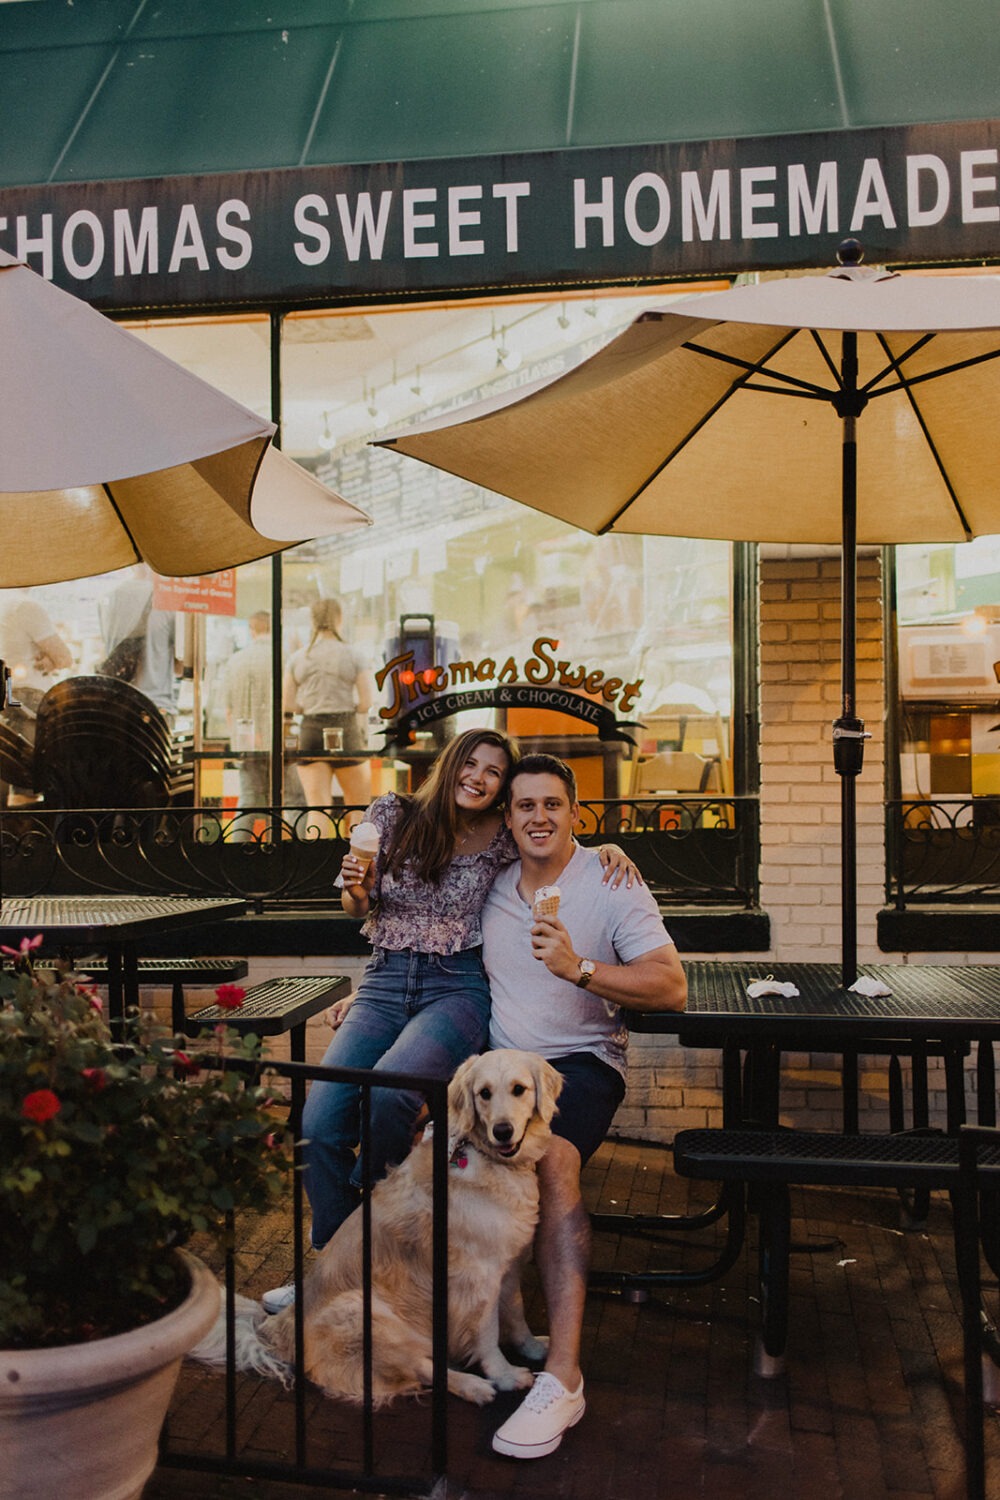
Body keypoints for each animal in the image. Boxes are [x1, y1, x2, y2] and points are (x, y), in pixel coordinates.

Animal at [189, 1044, 563, 1404]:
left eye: (519, 1089)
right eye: (484, 1093)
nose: (503, 1131)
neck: (488, 1160)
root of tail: (276, 1331)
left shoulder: (509, 1266)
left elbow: (515, 1312)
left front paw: (532, 1347)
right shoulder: (477, 1280)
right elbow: (487, 1334)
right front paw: (504, 1375)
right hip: (365, 1312)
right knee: (424, 1368)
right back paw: (474, 1386)